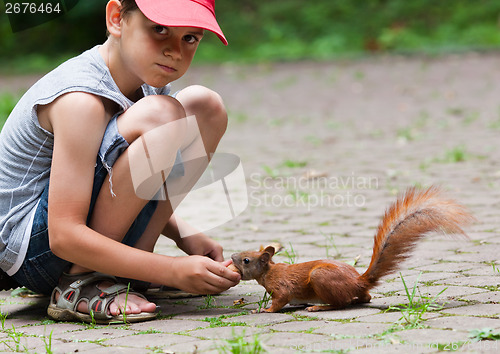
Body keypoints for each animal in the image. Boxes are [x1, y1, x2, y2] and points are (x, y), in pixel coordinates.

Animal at [229, 185, 472, 312]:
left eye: (246, 260)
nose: (231, 255)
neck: (269, 272)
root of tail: (357, 281)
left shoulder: (282, 287)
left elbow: (280, 300)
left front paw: (264, 309)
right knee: (366, 298)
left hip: (320, 278)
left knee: (341, 303)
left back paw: (319, 307)